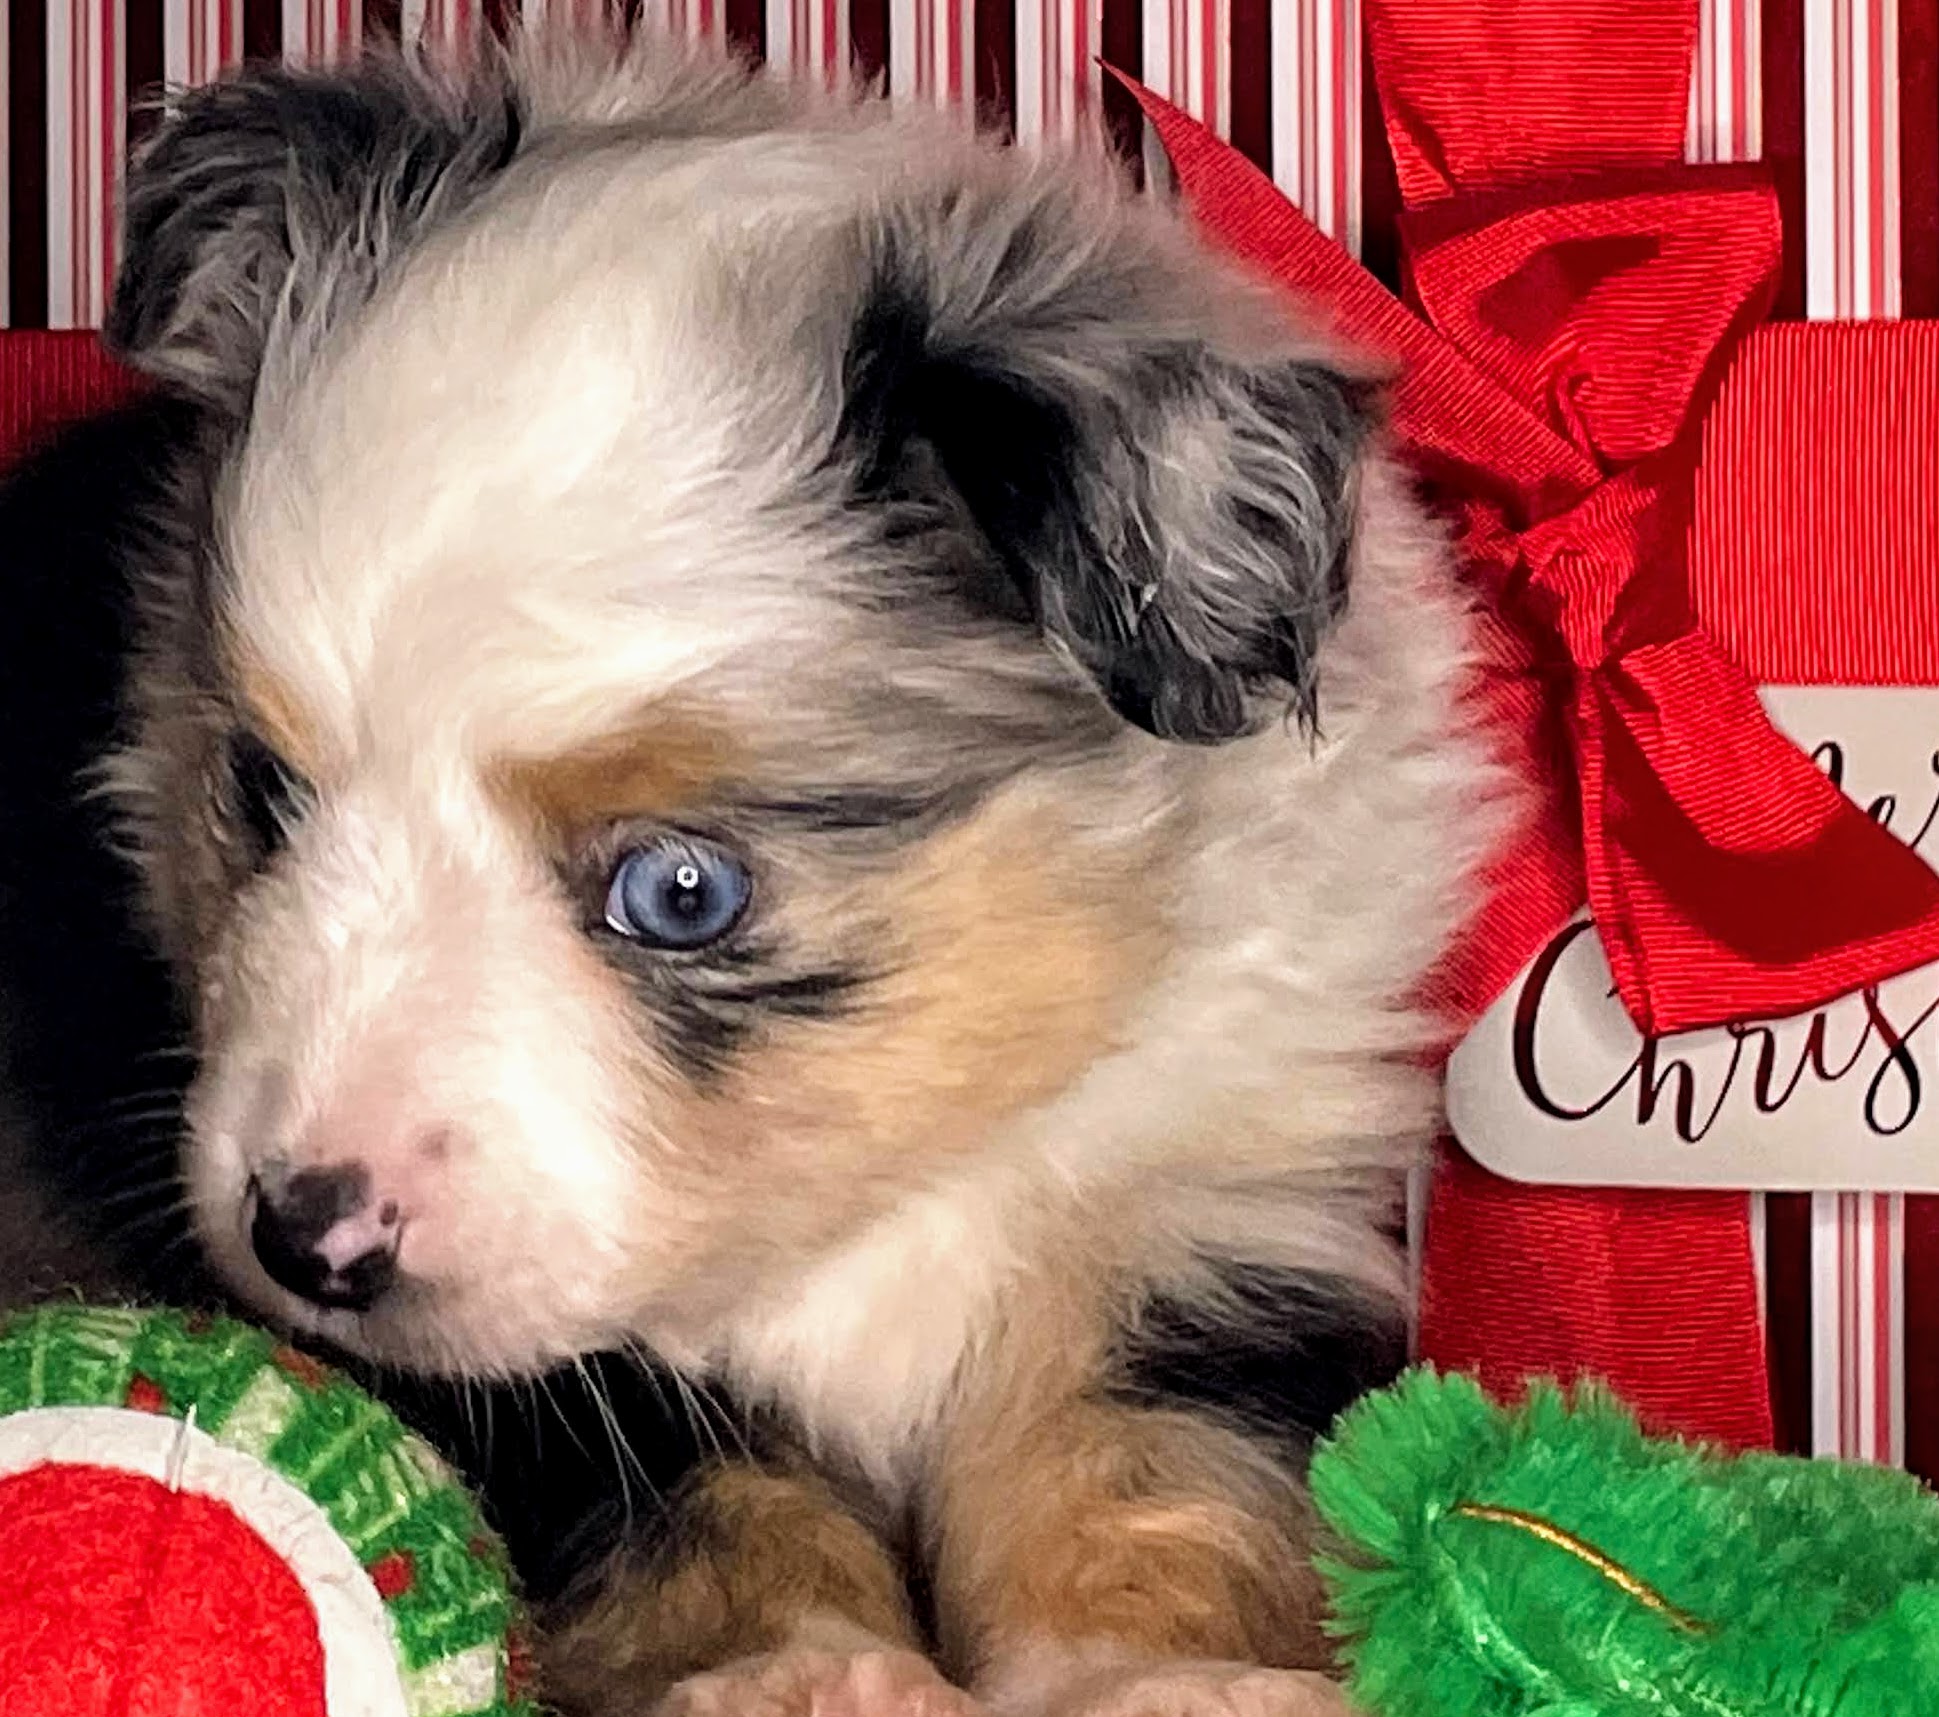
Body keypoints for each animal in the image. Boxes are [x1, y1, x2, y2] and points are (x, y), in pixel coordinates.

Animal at [81, 28, 1502, 1717]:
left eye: (680, 893)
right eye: (262, 787)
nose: (305, 1236)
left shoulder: (1221, 1201)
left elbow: (1152, 1469)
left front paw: (1176, 1682)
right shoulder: (558, 1371)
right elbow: (697, 1496)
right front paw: (807, 1678)